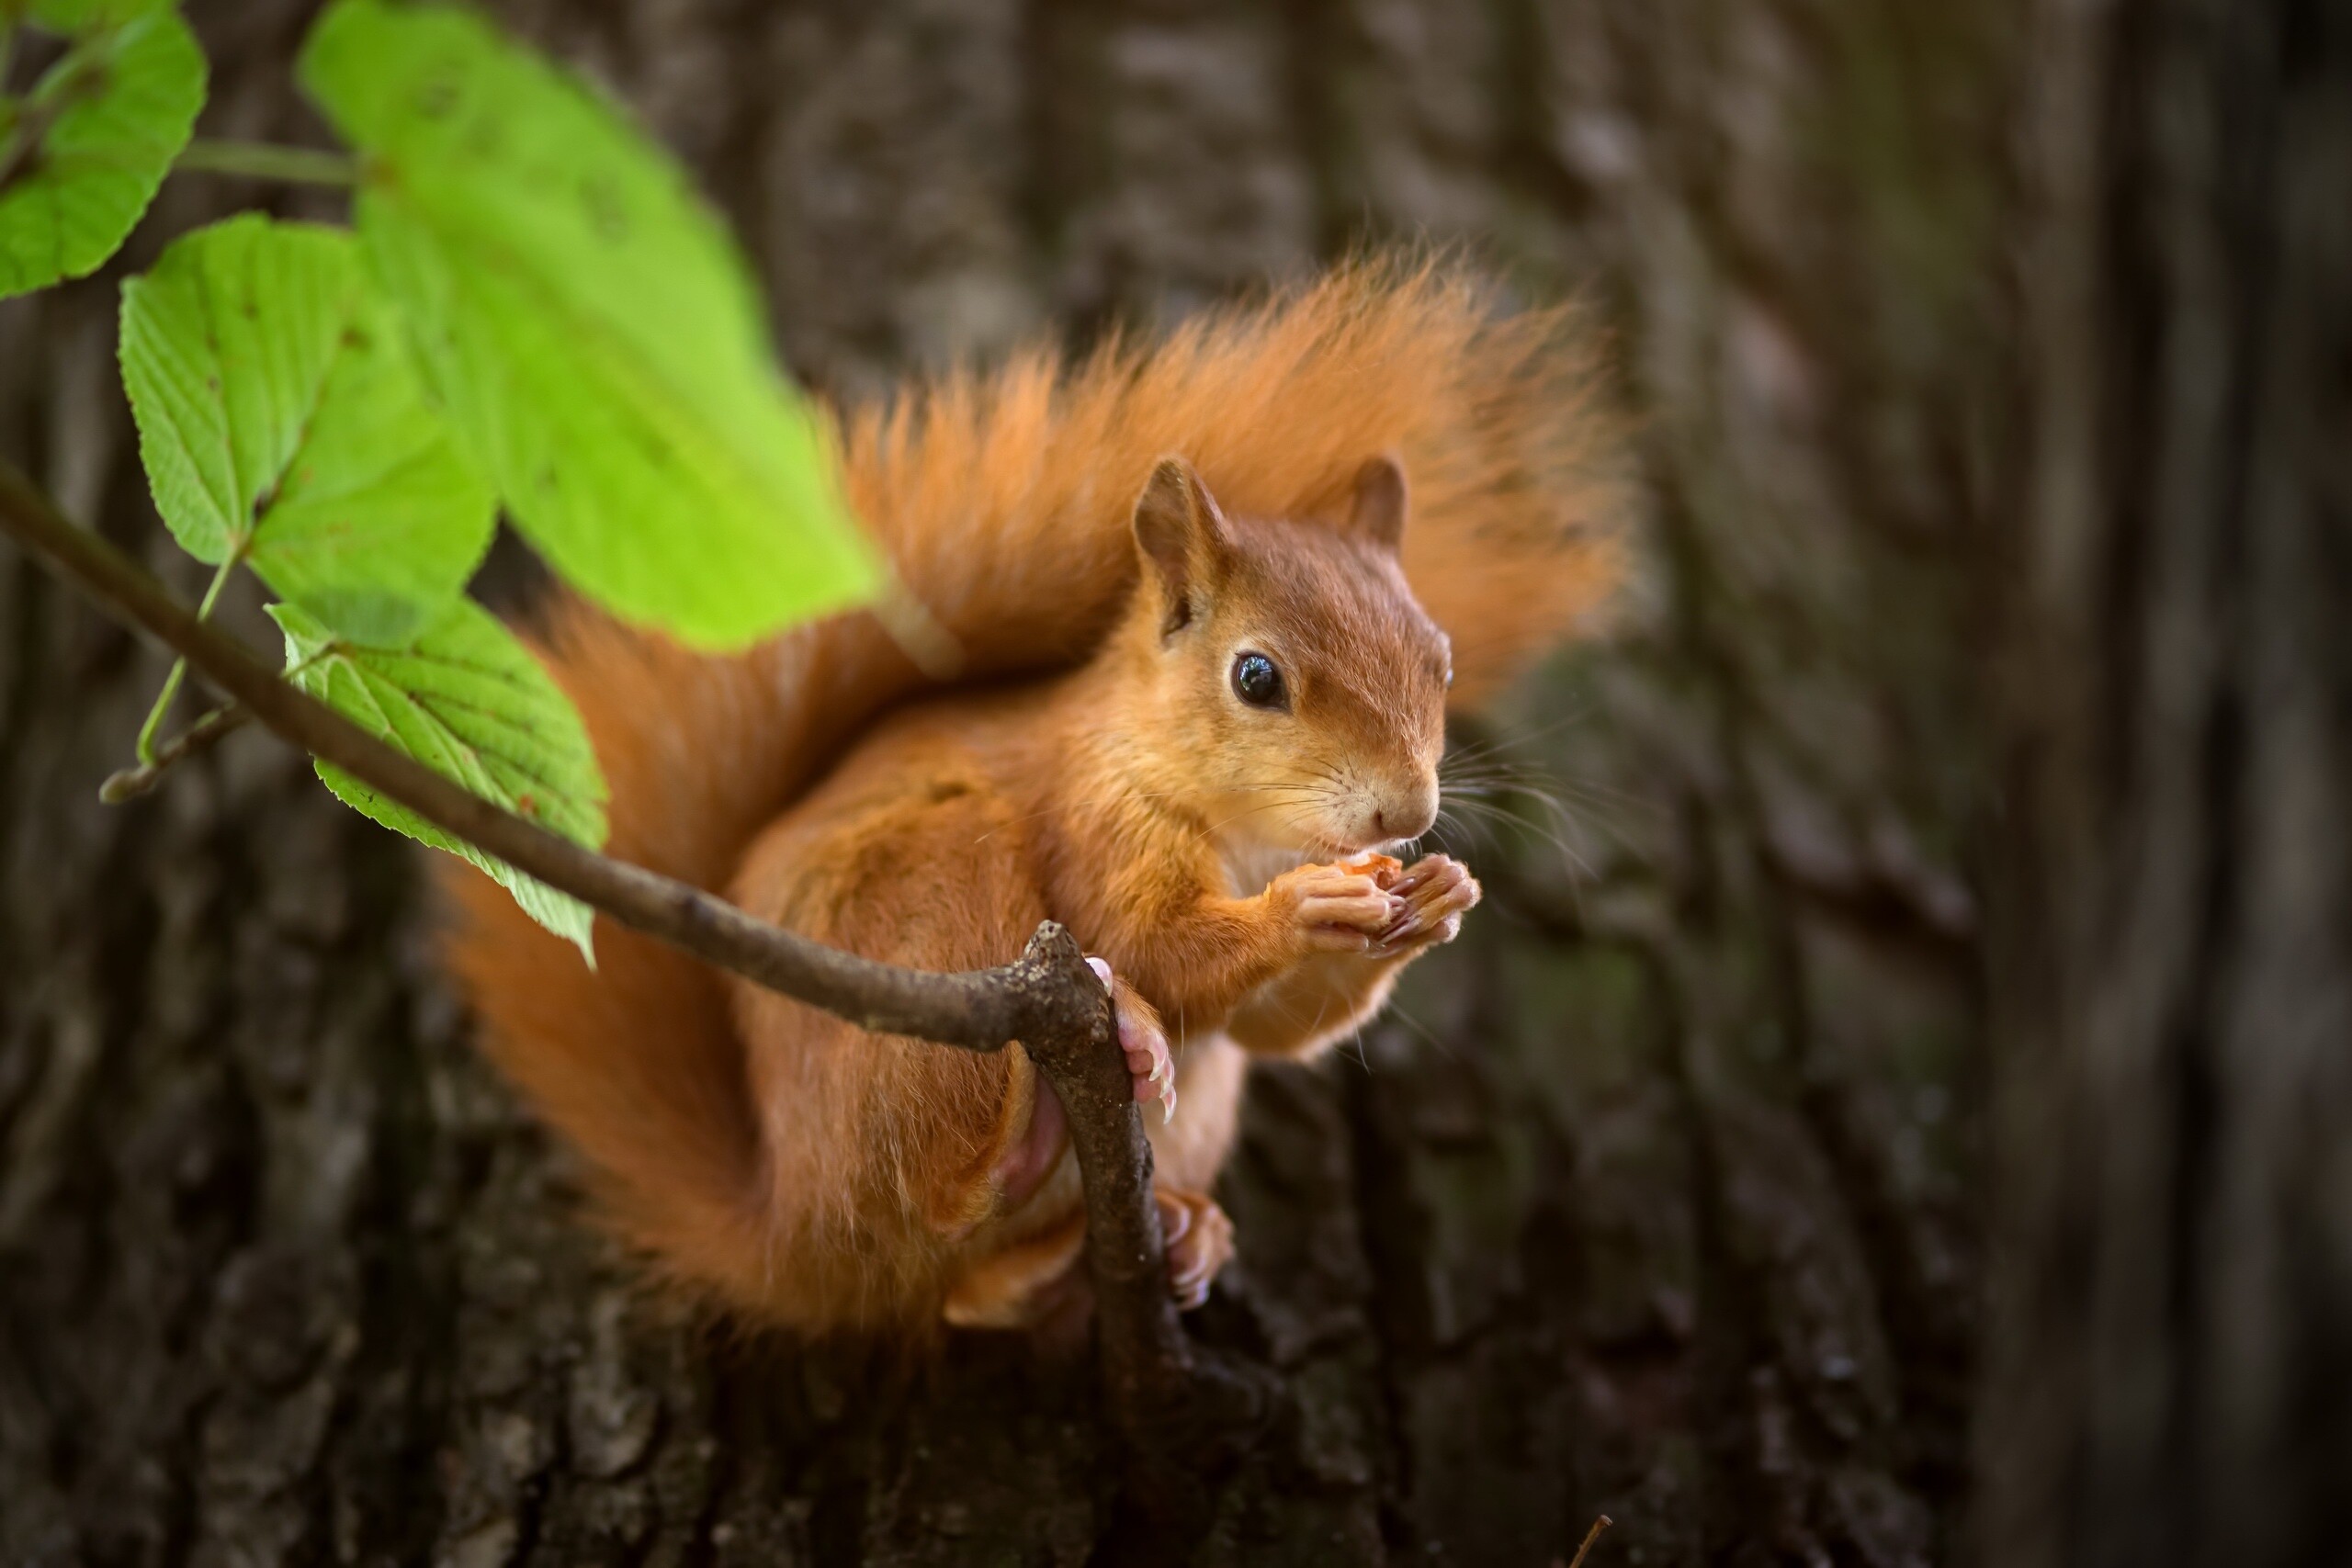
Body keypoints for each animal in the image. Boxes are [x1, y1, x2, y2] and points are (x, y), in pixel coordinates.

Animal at [442, 261, 1627, 1335]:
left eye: (1441, 661)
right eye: (1256, 678)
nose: (1404, 817)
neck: (1242, 833)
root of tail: (793, 1235)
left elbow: (1274, 1030)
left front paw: (1435, 900)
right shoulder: (1088, 816)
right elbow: (1155, 943)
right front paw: (1306, 910)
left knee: (969, 1293)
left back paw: (1166, 1235)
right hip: (942, 899)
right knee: (936, 1197)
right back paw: (1073, 1085)